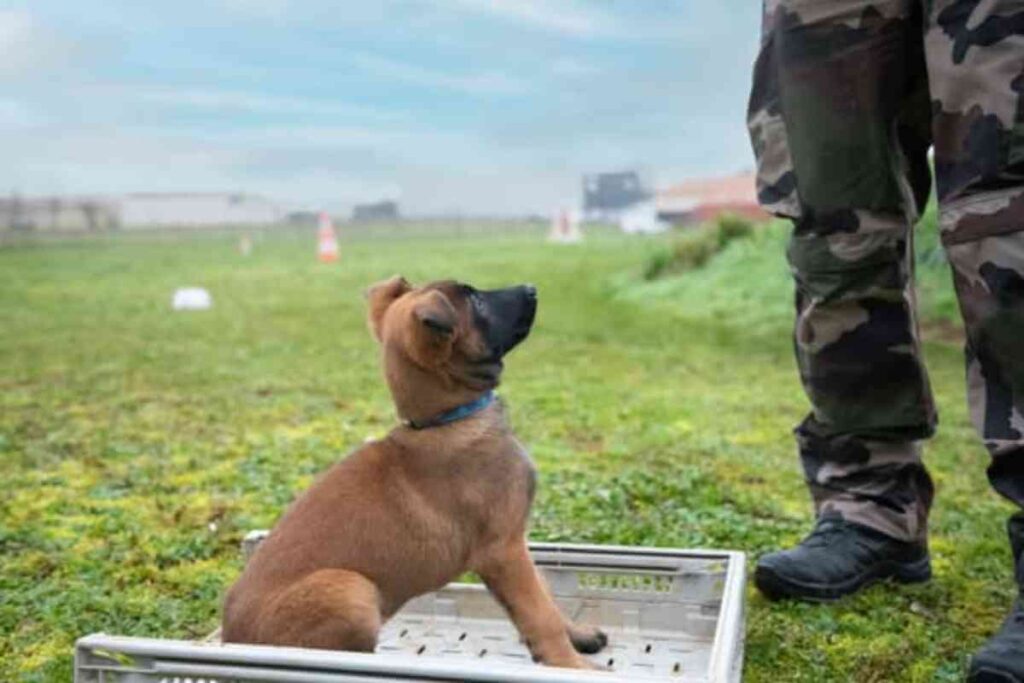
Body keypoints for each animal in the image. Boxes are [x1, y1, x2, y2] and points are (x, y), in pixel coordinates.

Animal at [222, 276, 606, 667]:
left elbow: (544, 595)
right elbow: (540, 614)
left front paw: (578, 636)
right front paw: (573, 666)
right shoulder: (503, 550)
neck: (446, 421)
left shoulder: (515, 542)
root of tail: (230, 637)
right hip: (351, 589)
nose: (532, 288)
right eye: (475, 301)